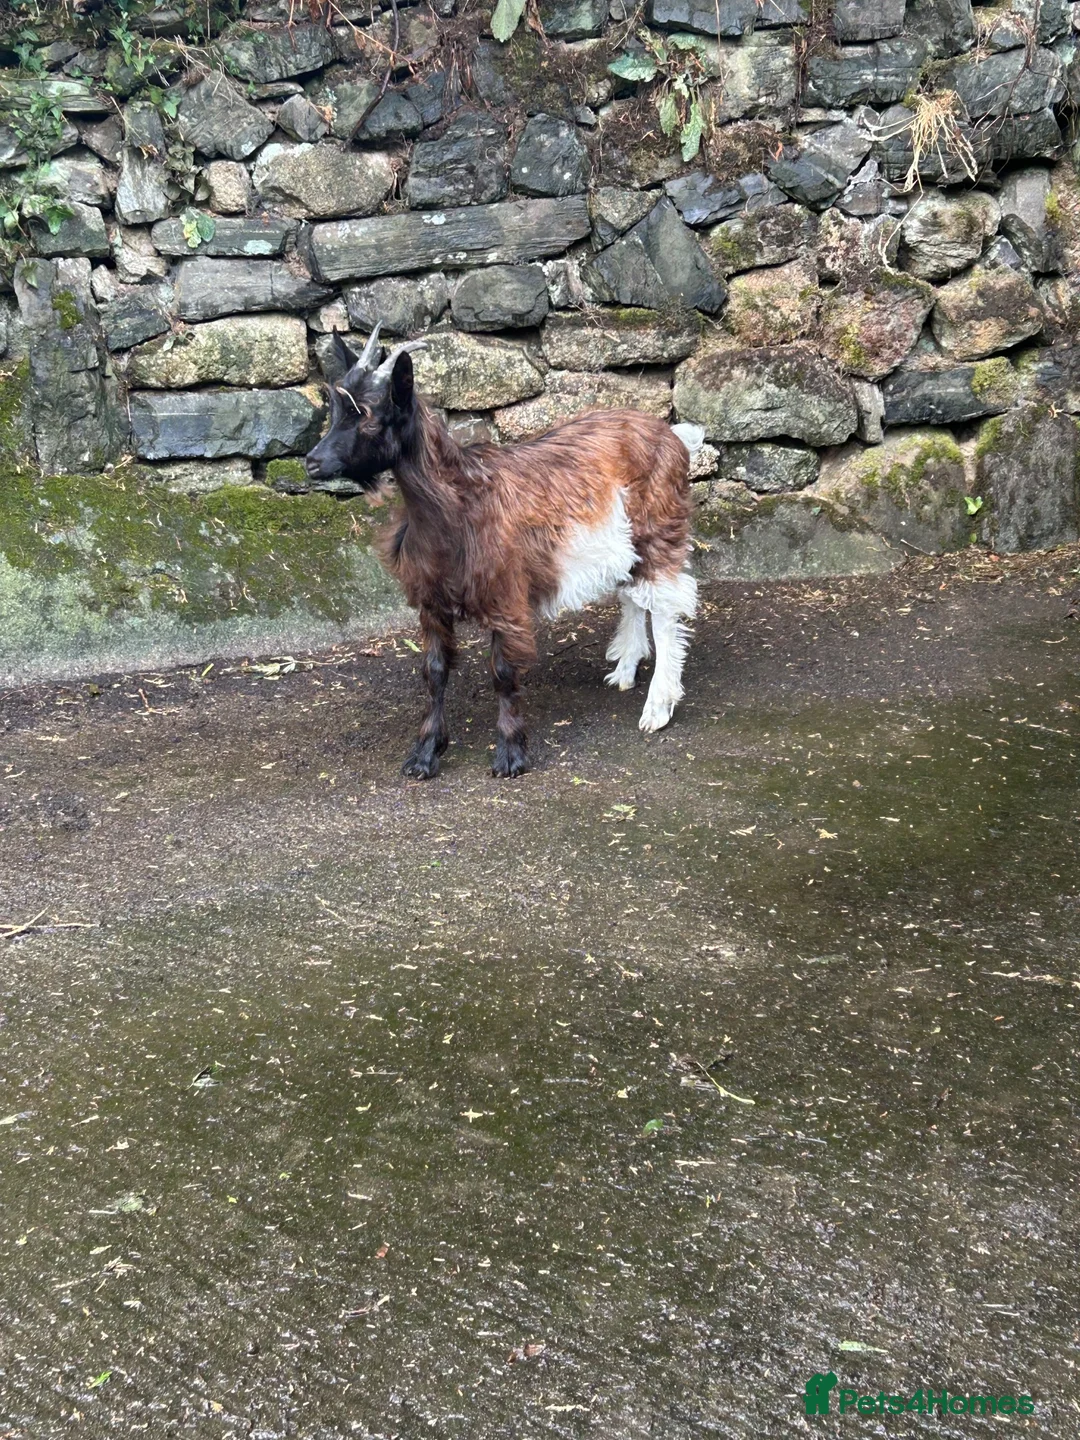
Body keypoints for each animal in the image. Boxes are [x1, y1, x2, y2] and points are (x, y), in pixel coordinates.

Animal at [304, 326, 700, 780]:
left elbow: (504, 673)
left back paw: (658, 706)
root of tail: (674, 436)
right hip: (625, 538)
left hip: (659, 525)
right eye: (335, 408)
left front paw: (510, 754)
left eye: (369, 414)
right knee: (633, 594)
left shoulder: (504, 595)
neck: (456, 506)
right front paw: (424, 754)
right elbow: (434, 673)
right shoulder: (431, 601)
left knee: (665, 606)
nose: (311, 462)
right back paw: (624, 670)